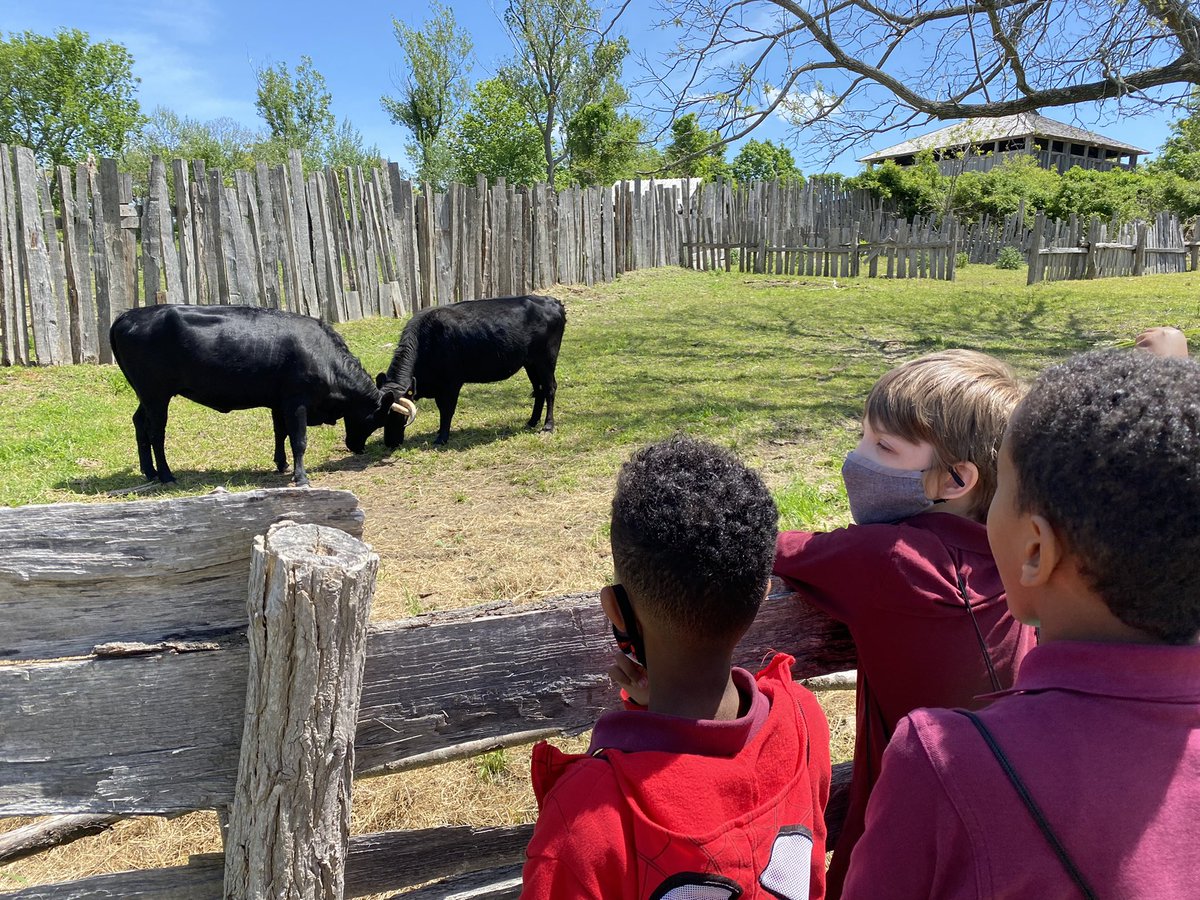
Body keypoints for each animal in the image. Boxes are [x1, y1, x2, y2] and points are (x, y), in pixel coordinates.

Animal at [109, 304, 417, 489]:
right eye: (376, 421)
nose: (356, 448)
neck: (322, 355)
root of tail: (127, 316)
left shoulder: (278, 403)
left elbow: (280, 433)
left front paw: (281, 464)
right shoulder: (296, 403)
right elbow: (299, 440)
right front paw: (300, 477)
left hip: (146, 396)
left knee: (139, 423)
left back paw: (149, 471)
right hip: (156, 395)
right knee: (155, 432)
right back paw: (165, 474)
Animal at [376, 296, 564, 448]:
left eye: (398, 416)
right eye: (381, 418)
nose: (390, 443)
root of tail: (553, 301)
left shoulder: (451, 383)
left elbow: (446, 409)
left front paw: (442, 438)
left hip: (546, 359)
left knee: (550, 388)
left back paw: (548, 426)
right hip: (530, 363)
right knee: (539, 390)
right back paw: (532, 421)